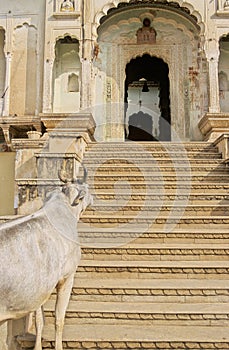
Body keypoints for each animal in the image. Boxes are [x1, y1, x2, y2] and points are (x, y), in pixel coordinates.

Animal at [0, 168, 92, 348]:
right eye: (85, 188)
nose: (92, 198)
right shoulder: (67, 277)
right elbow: (59, 319)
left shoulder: (41, 287)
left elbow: (39, 321)